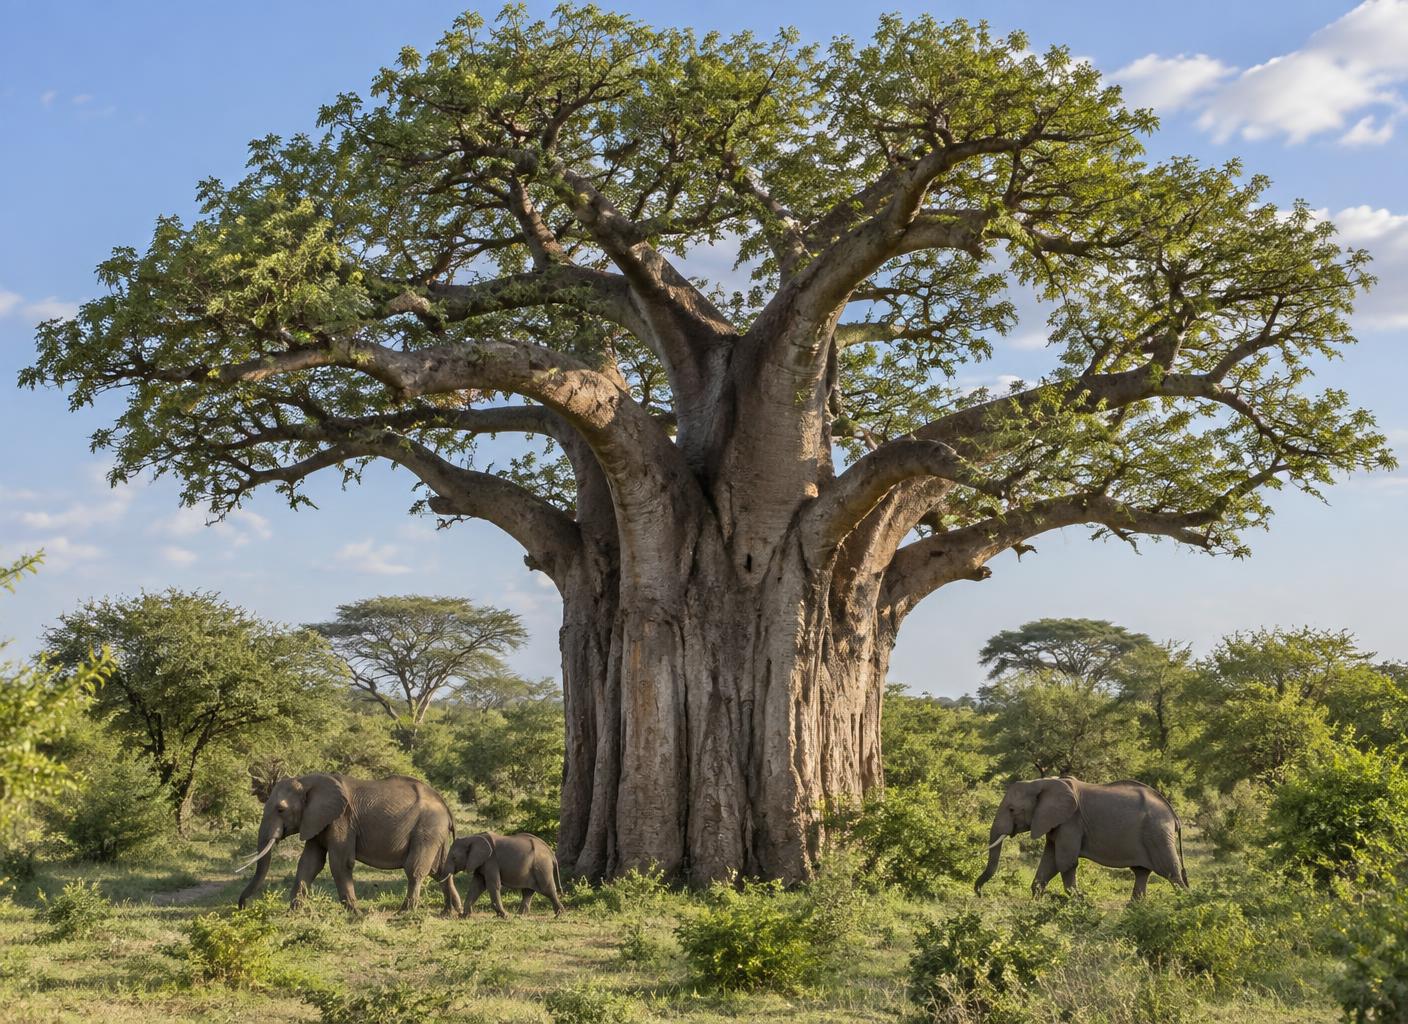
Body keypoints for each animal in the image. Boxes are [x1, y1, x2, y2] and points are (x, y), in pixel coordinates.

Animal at [235, 772, 462, 915]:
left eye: (281, 809)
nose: (242, 907)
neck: (307, 781)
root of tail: (445, 805)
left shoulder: (341, 820)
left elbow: (340, 863)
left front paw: (356, 914)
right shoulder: (316, 821)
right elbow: (309, 863)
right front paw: (292, 914)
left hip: (427, 827)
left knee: (415, 869)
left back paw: (403, 913)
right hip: (435, 832)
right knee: (440, 870)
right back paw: (452, 911)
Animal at [974, 776, 1188, 900]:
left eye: (1012, 810)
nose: (980, 894)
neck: (1041, 782)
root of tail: (1174, 815)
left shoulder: (1071, 822)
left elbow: (1065, 862)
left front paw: (1078, 902)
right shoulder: (1056, 823)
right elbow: (1049, 862)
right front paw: (1035, 904)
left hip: (1157, 833)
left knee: (1172, 873)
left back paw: (1185, 904)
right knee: (1141, 873)